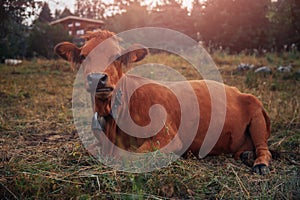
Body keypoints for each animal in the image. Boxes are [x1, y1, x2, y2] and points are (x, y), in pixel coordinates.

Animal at [54, 29, 272, 175]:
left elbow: (129, 155)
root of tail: (237, 90)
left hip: (258, 117)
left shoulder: (170, 138)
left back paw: (259, 163)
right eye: (83, 56)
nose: (96, 78)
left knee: (263, 147)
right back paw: (245, 154)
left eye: (117, 56)